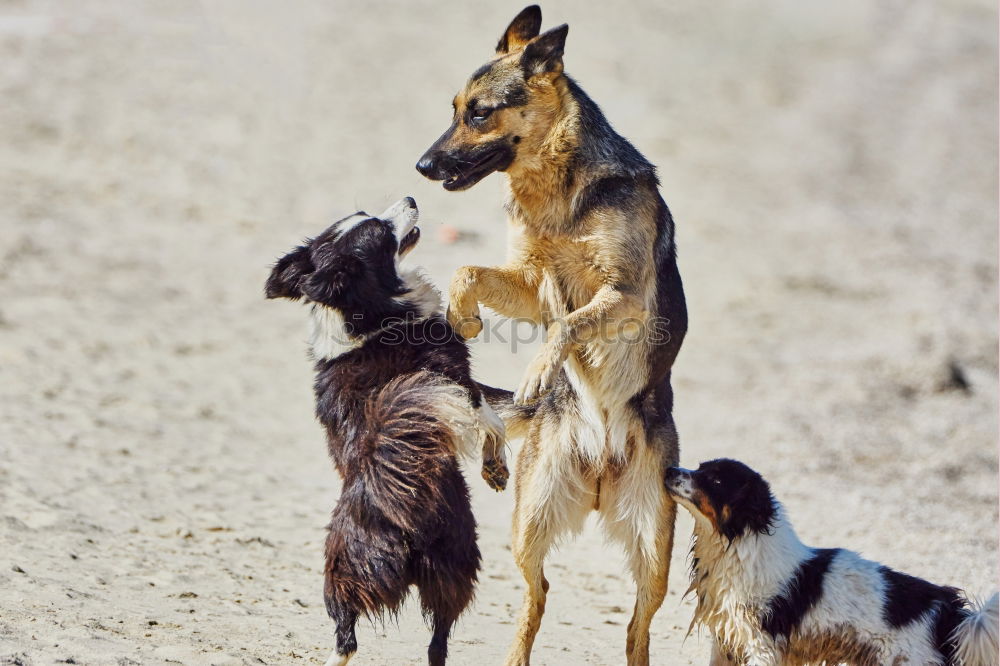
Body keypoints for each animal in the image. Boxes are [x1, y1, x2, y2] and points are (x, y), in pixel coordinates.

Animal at [266, 197, 508, 664]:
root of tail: (402, 520)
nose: (410, 198)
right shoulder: (455, 376)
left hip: (377, 571)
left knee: (370, 637)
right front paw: (496, 467)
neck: (370, 318)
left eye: (365, 214)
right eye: (380, 230)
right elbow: (492, 415)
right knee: (404, 640)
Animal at [416, 6, 688, 664]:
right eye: (453, 108)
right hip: (530, 525)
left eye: (479, 112)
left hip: (654, 552)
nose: (423, 167)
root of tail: (599, 472)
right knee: (536, 599)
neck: (555, 187)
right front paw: (464, 320)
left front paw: (538, 371)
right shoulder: (531, 281)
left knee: (636, 629)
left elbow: (567, 323)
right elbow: (468, 273)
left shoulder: (623, 297)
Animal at [660, 456, 996, 664]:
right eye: (700, 468)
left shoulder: (763, 645)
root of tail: (951, 613)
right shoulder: (728, 639)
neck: (739, 547)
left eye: (715, 481)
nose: (669, 470)